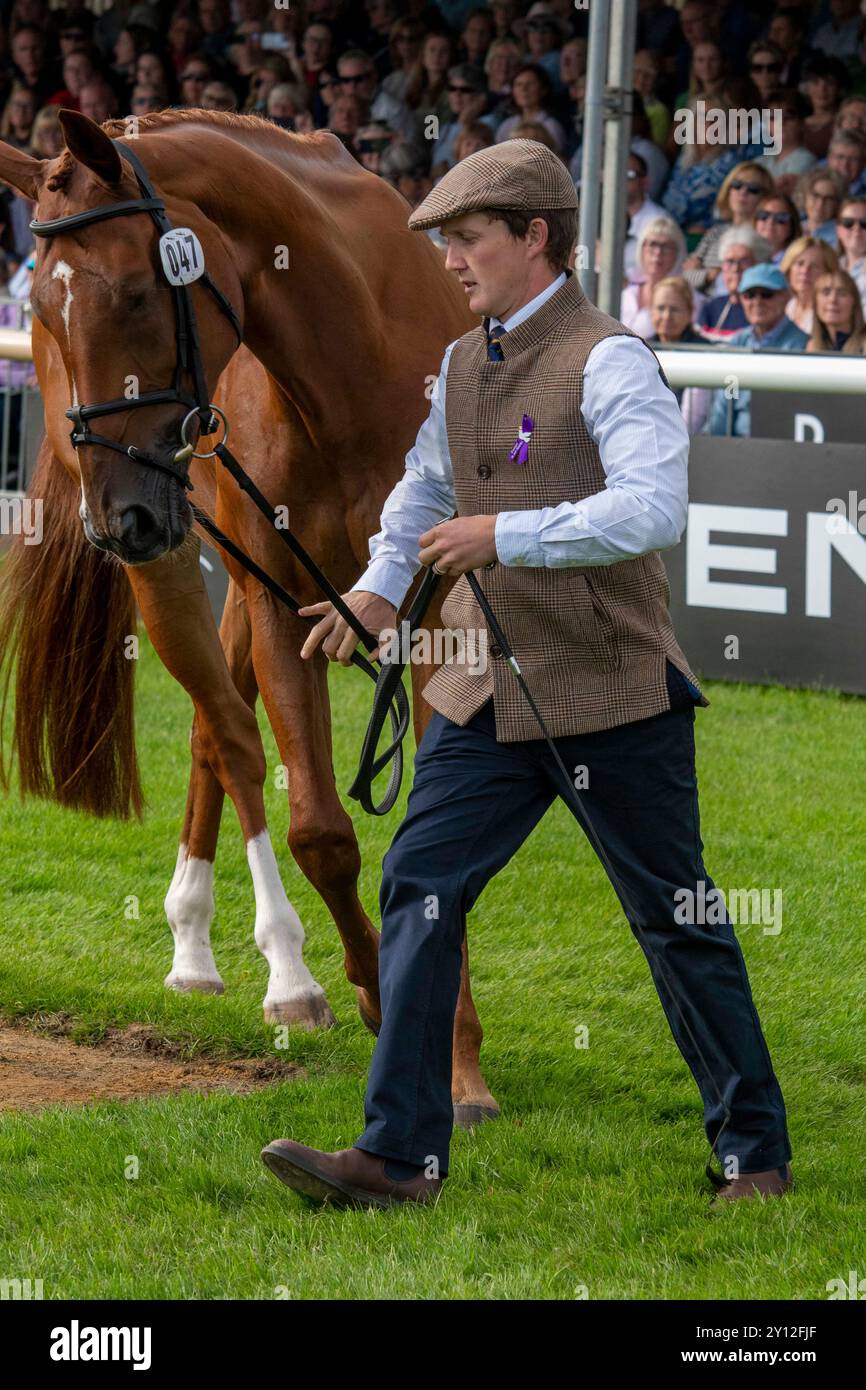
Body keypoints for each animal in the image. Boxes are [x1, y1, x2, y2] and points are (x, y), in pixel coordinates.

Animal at [0, 113, 500, 1123]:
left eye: (137, 292)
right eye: (44, 309)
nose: (115, 518)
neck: (350, 365)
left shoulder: (435, 614)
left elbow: (440, 834)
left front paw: (458, 1062)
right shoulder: (280, 605)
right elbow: (318, 827)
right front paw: (373, 991)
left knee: (211, 727)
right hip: (172, 566)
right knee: (228, 734)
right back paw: (261, 966)